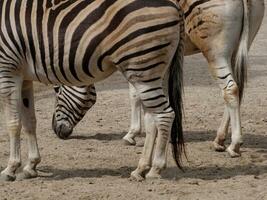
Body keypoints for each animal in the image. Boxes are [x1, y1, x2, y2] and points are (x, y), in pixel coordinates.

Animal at [0, 0, 185, 181]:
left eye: (57, 89)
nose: (59, 131)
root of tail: (175, 5)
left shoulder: (7, 69)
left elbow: (13, 123)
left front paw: (10, 168)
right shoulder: (24, 77)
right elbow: (29, 122)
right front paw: (31, 166)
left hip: (142, 68)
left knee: (165, 114)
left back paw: (155, 169)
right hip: (156, 71)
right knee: (152, 119)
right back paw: (141, 169)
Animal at [52, 0, 266, 158]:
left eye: (56, 89)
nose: (58, 131)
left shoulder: (133, 54)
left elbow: (134, 95)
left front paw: (132, 134)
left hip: (215, 50)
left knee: (230, 89)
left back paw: (234, 145)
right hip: (241, 44)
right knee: (235, 90)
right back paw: (220, 140)